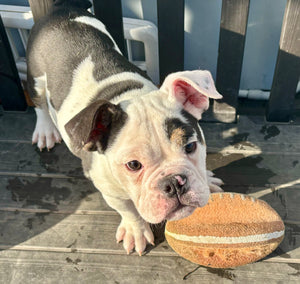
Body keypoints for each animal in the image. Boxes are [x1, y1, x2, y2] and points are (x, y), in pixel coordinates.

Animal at [27, 0, 223, 255]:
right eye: (133, 165)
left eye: (190, 146)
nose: (174, 182)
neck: (131, 95)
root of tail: (59, 9)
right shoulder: (109, 190)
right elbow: (127, 209)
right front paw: (135, 230)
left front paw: (206, 179)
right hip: (36, 77)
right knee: (39, 102)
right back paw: (45, 131)